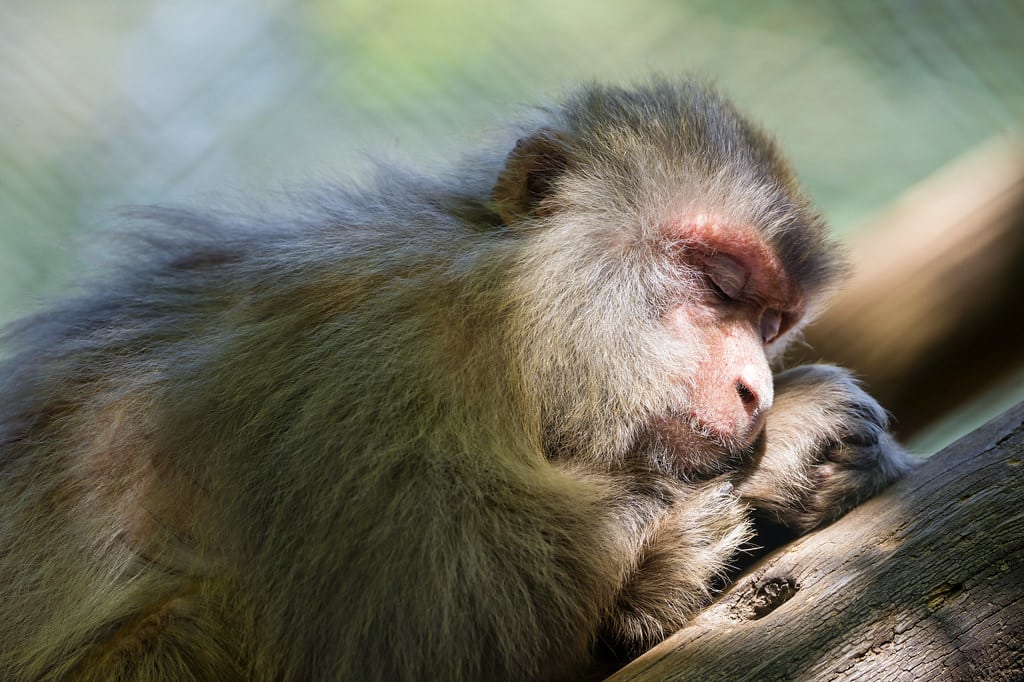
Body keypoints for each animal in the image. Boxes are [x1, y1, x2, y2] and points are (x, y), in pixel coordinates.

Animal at [0, 79, 916, 681]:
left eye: (771, 323)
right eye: (719, 283)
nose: (756, 389)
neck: (512, 331)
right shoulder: (378, 359)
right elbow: (442, 622)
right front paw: (787, 447)